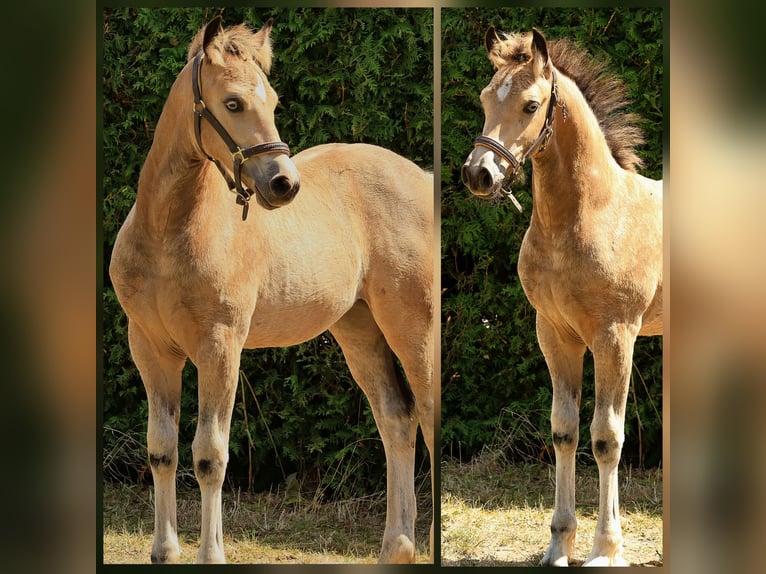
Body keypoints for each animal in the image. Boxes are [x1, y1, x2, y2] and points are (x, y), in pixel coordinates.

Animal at [108, 17, 434, 564]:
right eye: (233, 103)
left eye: (275, 103)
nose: (284, 184)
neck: (169, 233)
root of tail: (423, 180)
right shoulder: (150, 348)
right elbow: (161, 450)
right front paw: (164, 551)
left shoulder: (220, 347)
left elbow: (210, 456)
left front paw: (211, 554)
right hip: (359, 329)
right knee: (396, 419)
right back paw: (397, 546)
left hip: (415, 327)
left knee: (428, 414)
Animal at [461, 27, 662, 566]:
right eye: (485, 99)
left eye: (532, 105)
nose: (479, 174)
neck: (590, 213)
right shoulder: (555, 334)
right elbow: (565, 431)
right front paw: (558, 544)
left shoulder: (615, 337)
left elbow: (607, 437)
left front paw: (605, 550)